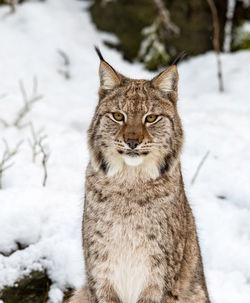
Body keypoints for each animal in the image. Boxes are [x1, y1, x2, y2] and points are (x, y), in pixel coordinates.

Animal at [67, 48, 210, 302]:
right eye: (117, 116)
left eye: (151, 118)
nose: (132, 141)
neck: (129, 181)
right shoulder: (100, 274)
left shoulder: (159, 277)